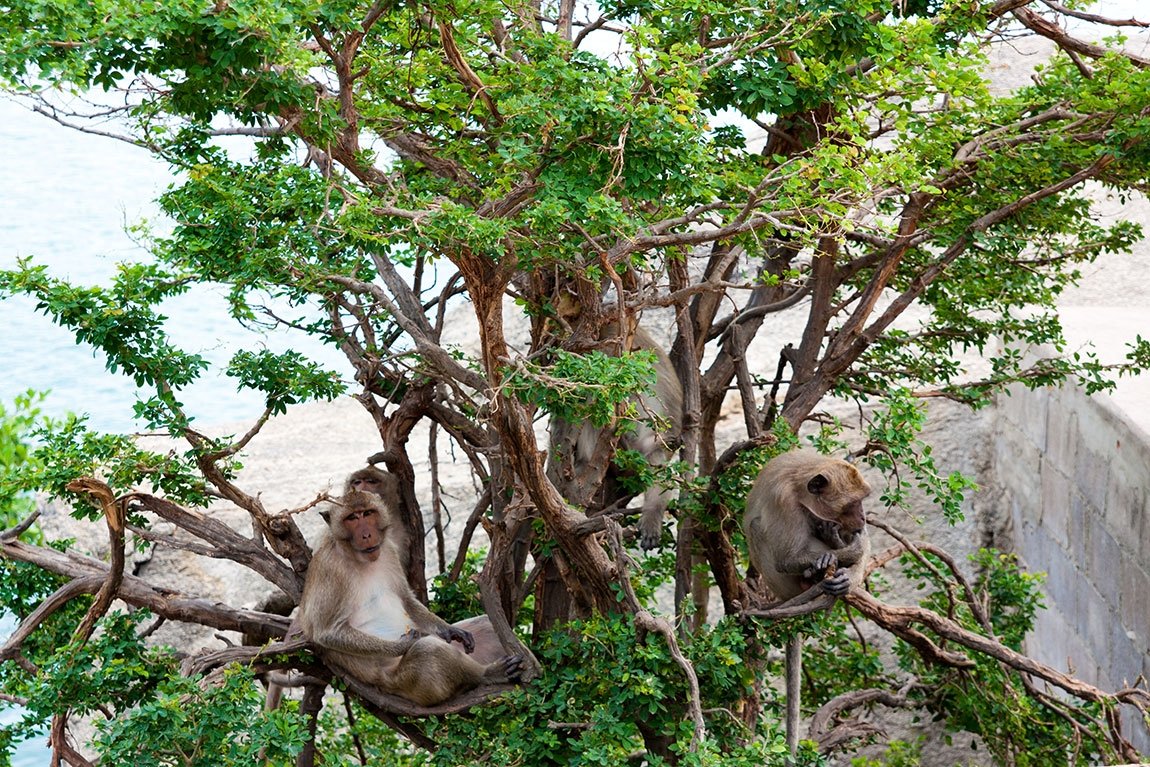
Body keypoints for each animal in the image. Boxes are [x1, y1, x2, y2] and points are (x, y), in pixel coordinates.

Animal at [301, 492, 526, 708]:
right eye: (352, 518)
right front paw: (401, 646)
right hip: (406, 684)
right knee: (428, 650)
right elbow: (326, 632)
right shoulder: (329, 568)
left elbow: (406, 598)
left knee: (486, 624)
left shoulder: (389, 550)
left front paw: (450, 630)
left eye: (367, 513)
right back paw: (487, 674)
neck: (358, 558)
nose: (366, 534)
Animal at [745, 450, 869, 754]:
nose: (862, 517)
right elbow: (785, 558)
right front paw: (831, 555)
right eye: (851, 504)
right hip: (780, 581)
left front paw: (847, 567)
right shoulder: (783, 501)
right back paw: (817, 569)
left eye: (862, 501)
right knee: (758, 529)